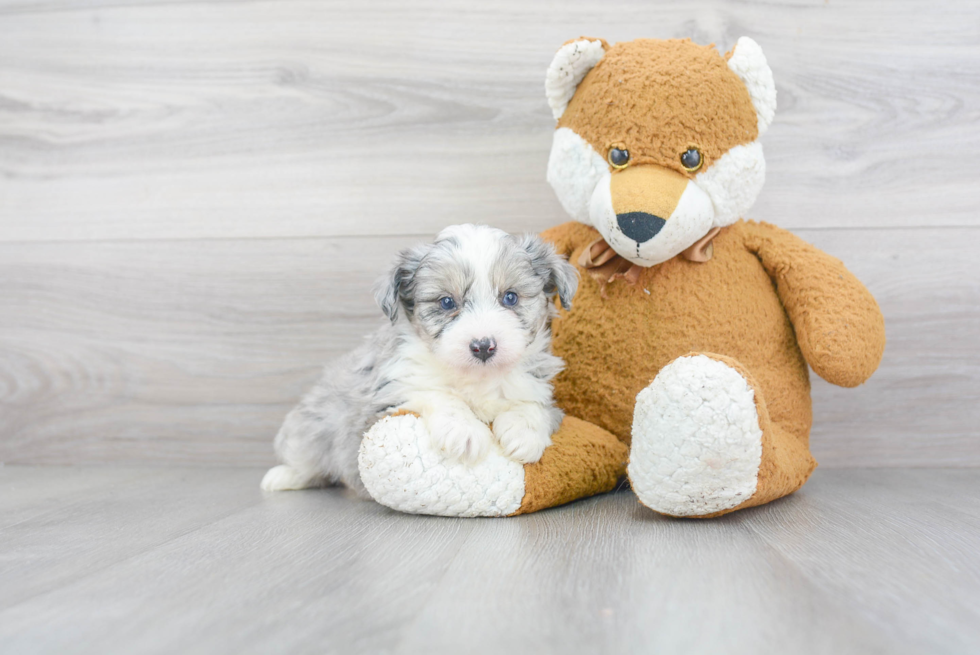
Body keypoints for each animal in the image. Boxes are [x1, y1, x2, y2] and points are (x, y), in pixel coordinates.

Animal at [262, 223, 580, 494]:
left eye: (510, 298)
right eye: (447, 302)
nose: (483, 346)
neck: (476, 377)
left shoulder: (539, 388)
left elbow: (530, 404)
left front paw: (523, 433)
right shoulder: (392, 390)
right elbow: (436, 393)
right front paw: (464, 431)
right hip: (310, 429)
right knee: (305, 460)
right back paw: (281, 477)